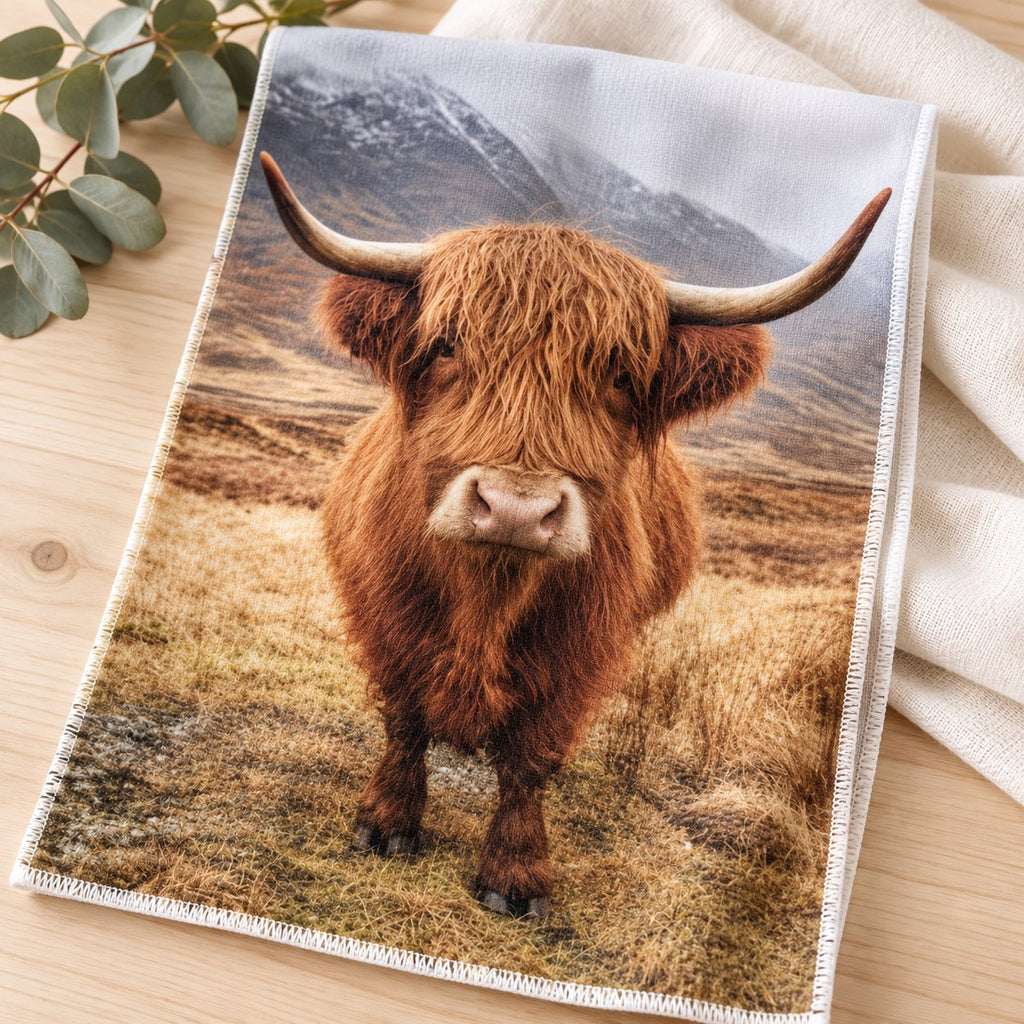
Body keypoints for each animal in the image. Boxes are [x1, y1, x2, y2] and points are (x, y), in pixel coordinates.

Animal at [260, 152, 889, 918]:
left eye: (619, 373)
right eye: (446, 346)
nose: (515, 509)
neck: (487, 600)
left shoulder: (581, 651)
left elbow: (533, 759)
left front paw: (515, 875)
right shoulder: (386, 616)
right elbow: (405, 720)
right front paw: (385, 824)